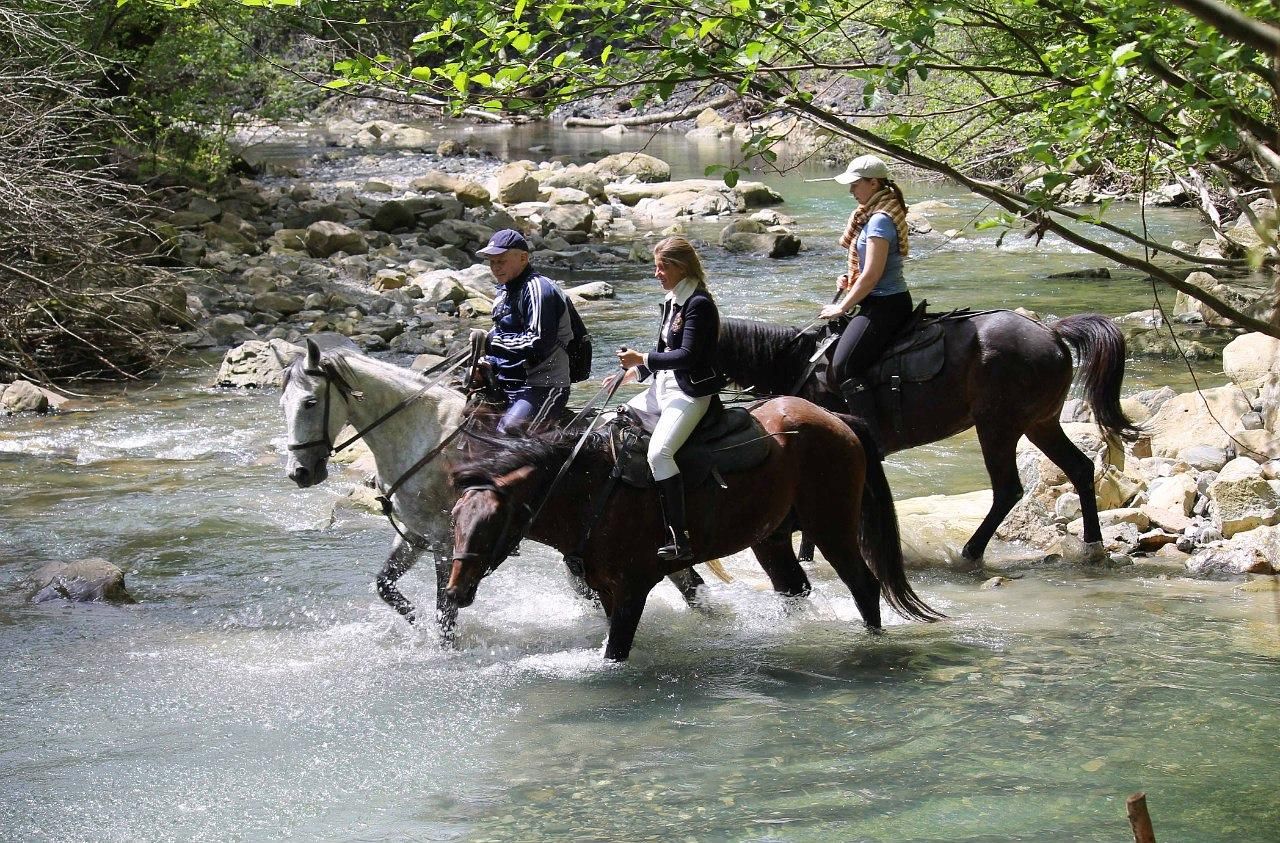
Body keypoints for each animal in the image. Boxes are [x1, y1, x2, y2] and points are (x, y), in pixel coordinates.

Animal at [445, 399, 947, 665]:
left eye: (492, 524)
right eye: (454, 521)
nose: (454, 592)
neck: (593, 491)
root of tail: (837, 418)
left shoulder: (633, 587)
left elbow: (617, 649)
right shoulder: (606, 588)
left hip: (832, 527)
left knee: (864, 585)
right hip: (771, 538)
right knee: (794, 588)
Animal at [711, 313, 1141, 562]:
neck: (799, 366)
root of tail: (1050, 332)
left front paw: (807, 554)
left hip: (997, 426)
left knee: (1008, 489)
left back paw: (972, 551)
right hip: (1040, 424)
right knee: (1080, 470)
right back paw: (1092, 543)